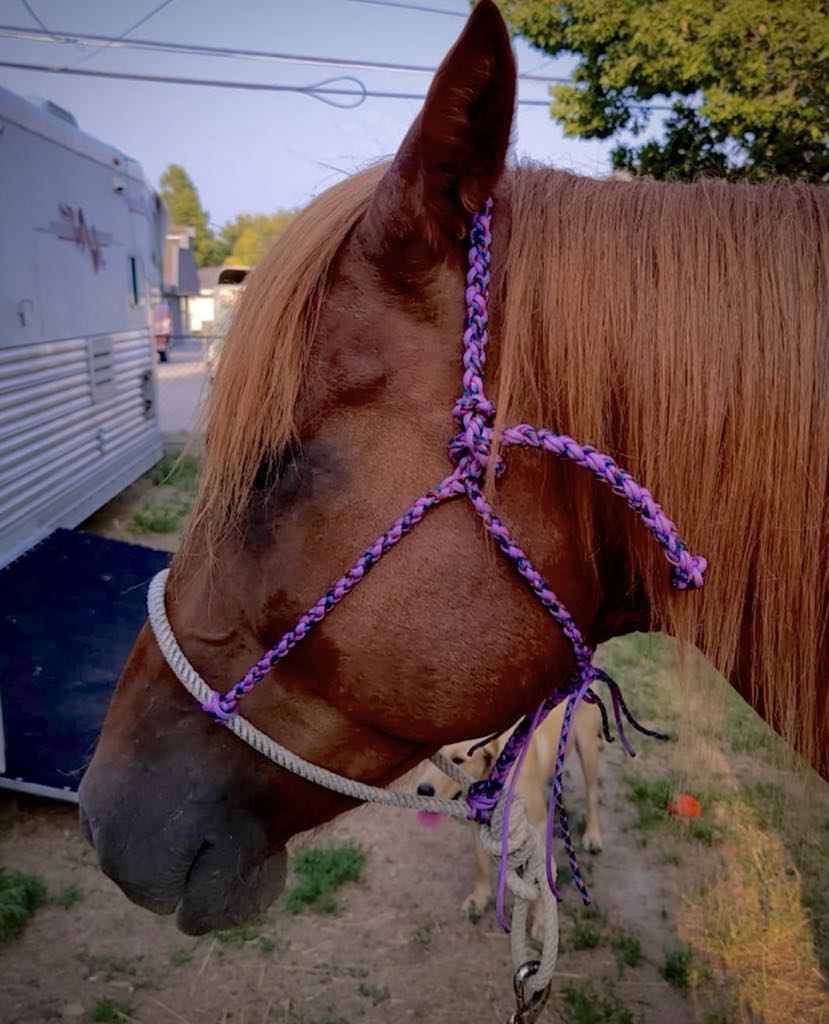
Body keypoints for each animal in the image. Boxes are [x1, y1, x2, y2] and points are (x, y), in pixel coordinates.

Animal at [413, 700, 601, 933]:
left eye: (459, 760)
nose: (423, 790)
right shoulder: (478, 826)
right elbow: (481, 866)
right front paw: (478, 900)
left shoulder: (537, 825)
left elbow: (537, 878)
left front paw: (541, 921)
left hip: (588, 749)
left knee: (592, 794)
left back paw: (593, 835)